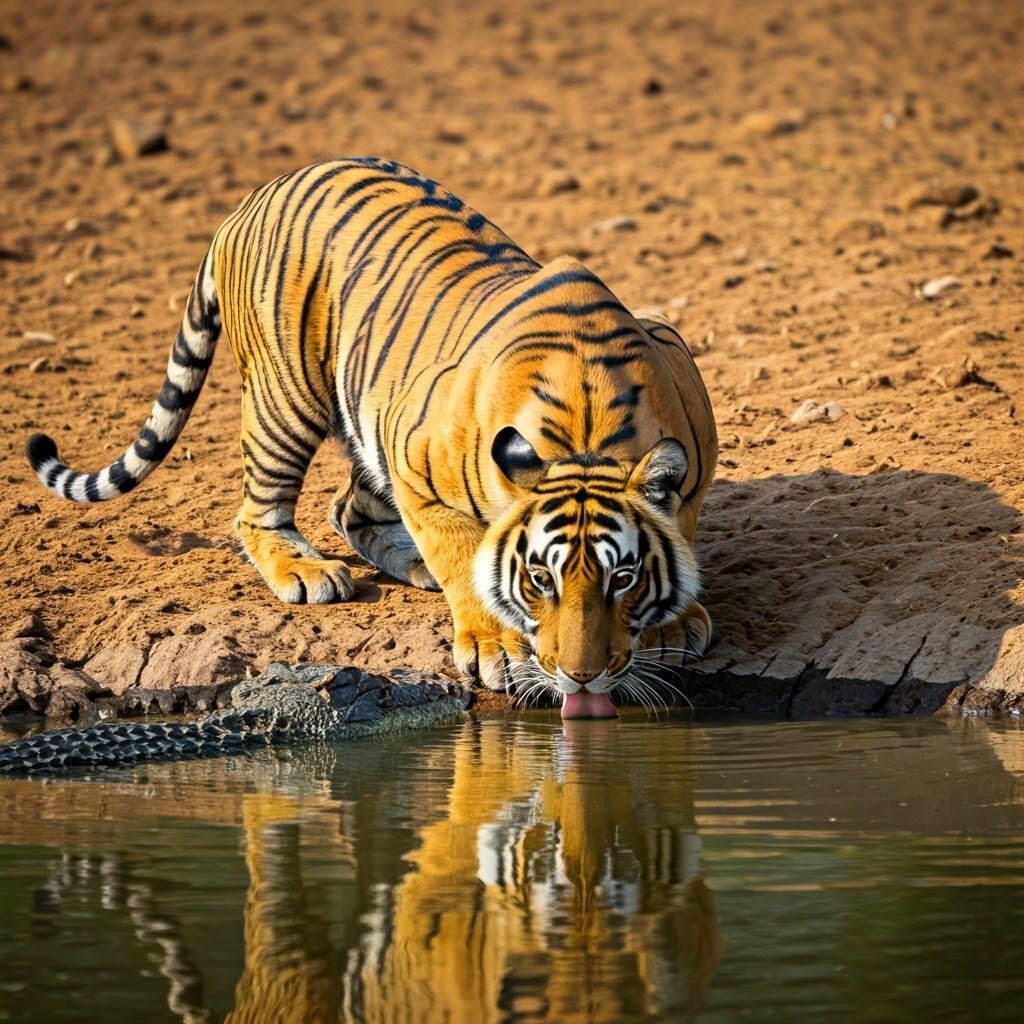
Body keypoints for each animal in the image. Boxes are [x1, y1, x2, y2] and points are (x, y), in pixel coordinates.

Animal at [26, 157, 718, 717]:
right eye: (539, 581)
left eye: (622, 578)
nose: (582, 678)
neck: (587, 427)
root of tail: (247, 202)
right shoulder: (415, 463)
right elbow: (463, 558)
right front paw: (496, 646)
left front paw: (672, 625)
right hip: (287, 396)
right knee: (261, 510)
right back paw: (307, 571)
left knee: (348, 507)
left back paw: (408, 564)